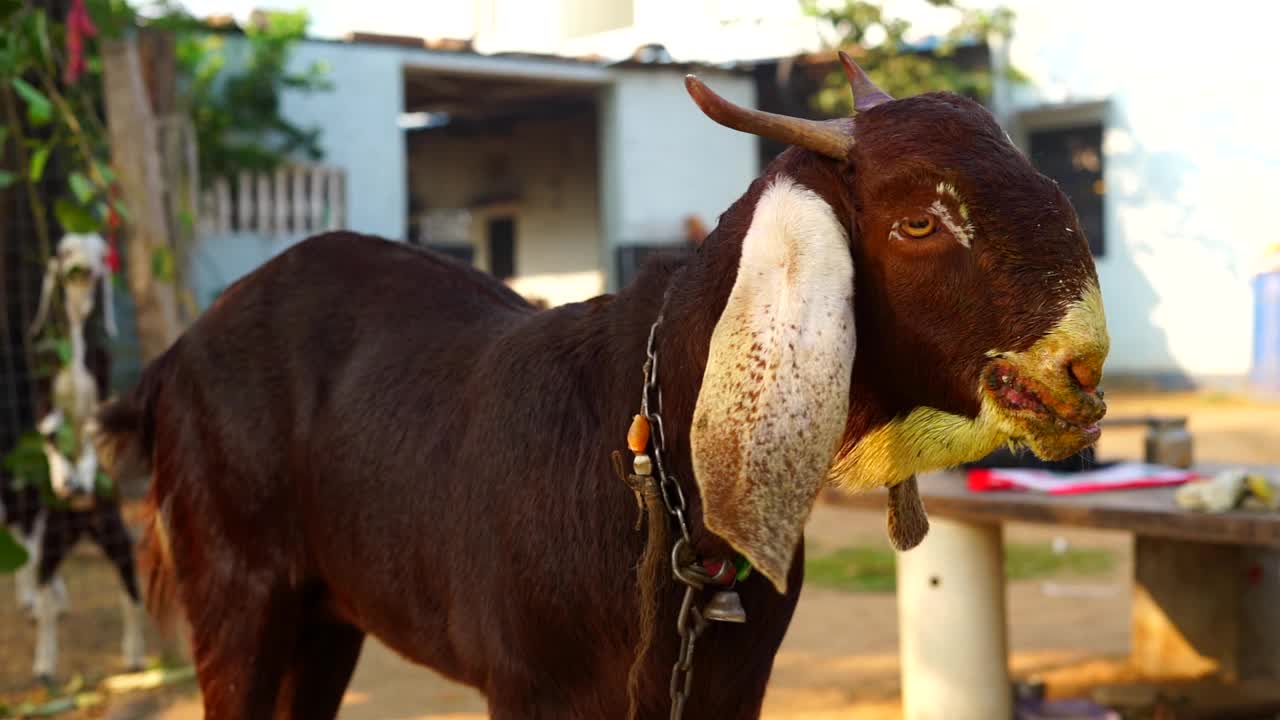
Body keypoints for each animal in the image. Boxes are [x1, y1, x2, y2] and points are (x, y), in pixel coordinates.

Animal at [97, 57, 1111, 717]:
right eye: (917, 221)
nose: (1083, 366)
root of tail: (174, 356)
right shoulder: (528, 686)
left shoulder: (729, 688)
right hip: (235, 591)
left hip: (324, 615)